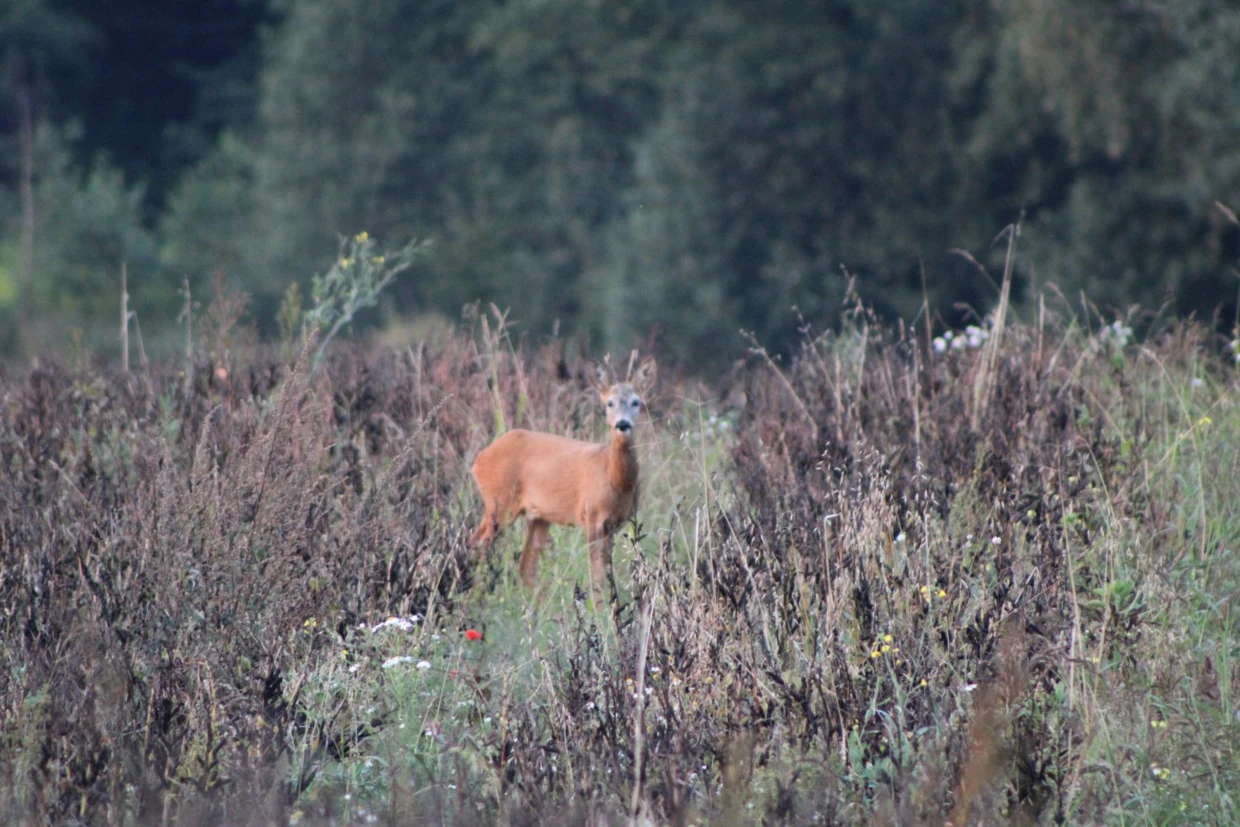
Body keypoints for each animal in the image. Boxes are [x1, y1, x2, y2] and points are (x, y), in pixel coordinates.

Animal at [466, 357, 659, 602]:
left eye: (636, 402)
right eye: (610, 403)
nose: (622, 424)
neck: (613, 477)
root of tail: (479, 459)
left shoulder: (615, 524)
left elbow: (608, 575)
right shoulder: (590, 517)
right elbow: (597, 578)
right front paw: (599, 608)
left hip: (538, 517)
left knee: (525, 565)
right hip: (499, 503)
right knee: (478, 544)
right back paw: (473, 597)